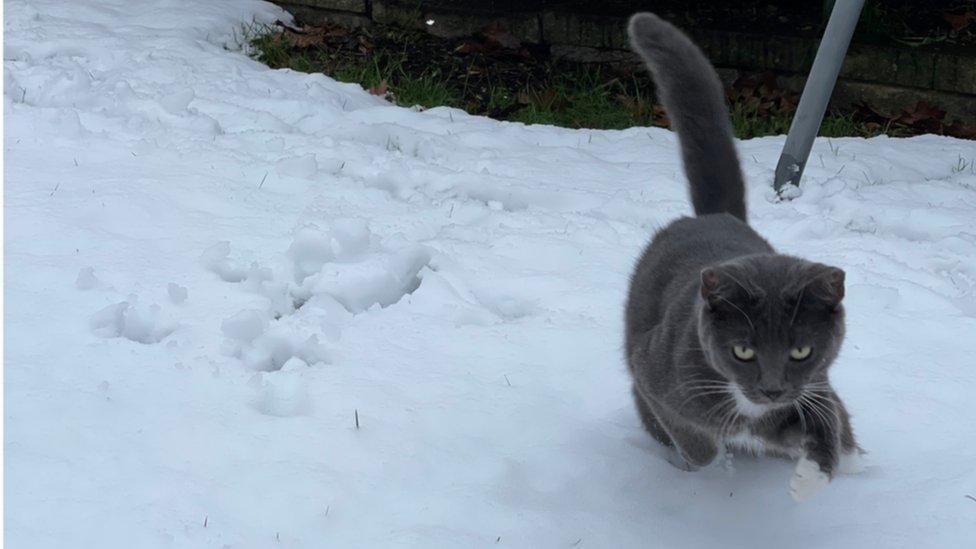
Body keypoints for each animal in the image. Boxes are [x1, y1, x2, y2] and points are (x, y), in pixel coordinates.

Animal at [624, 12, 860, 500]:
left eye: (801, 350)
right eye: (743, 351)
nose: (771, 389)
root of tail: (715, 215)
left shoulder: (814, 385)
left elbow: (824, 421)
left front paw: (809, 477)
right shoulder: (656, 370)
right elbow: (697, 440)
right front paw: (716, 467)